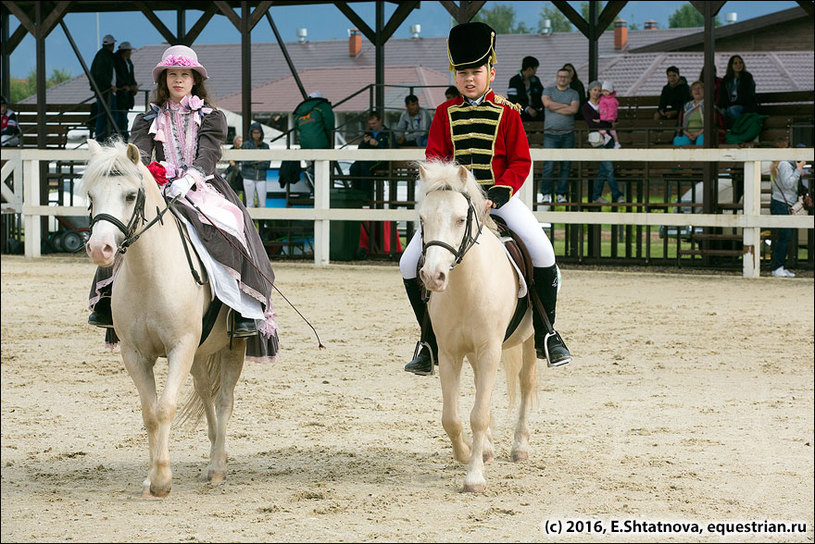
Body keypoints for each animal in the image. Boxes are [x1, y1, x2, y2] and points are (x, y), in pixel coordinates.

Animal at [84, 140, 249, 498]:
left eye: (130, 195)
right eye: (90, 194)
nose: (100, 249)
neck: (150, 273)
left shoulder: (180, 347)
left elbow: (165, 407)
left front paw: (161, 479)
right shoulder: (135, 354)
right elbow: (149, 413)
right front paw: (150, 478)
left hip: (233, 348)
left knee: (224, 400)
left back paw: (218, 467)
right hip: (200, 353)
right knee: (206, 392)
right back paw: (213, 454)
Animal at [418, 160, 540, 492]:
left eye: (461, 219)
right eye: (422, 219)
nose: (433, 276)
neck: (465, 285)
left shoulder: (489, 351)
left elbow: (478, 415)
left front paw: (473, 478)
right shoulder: (449, 353)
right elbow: (451, 417)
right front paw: (467, 454)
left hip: (530, 338)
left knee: (526, 382)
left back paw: (520, 447)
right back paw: (485, 449)